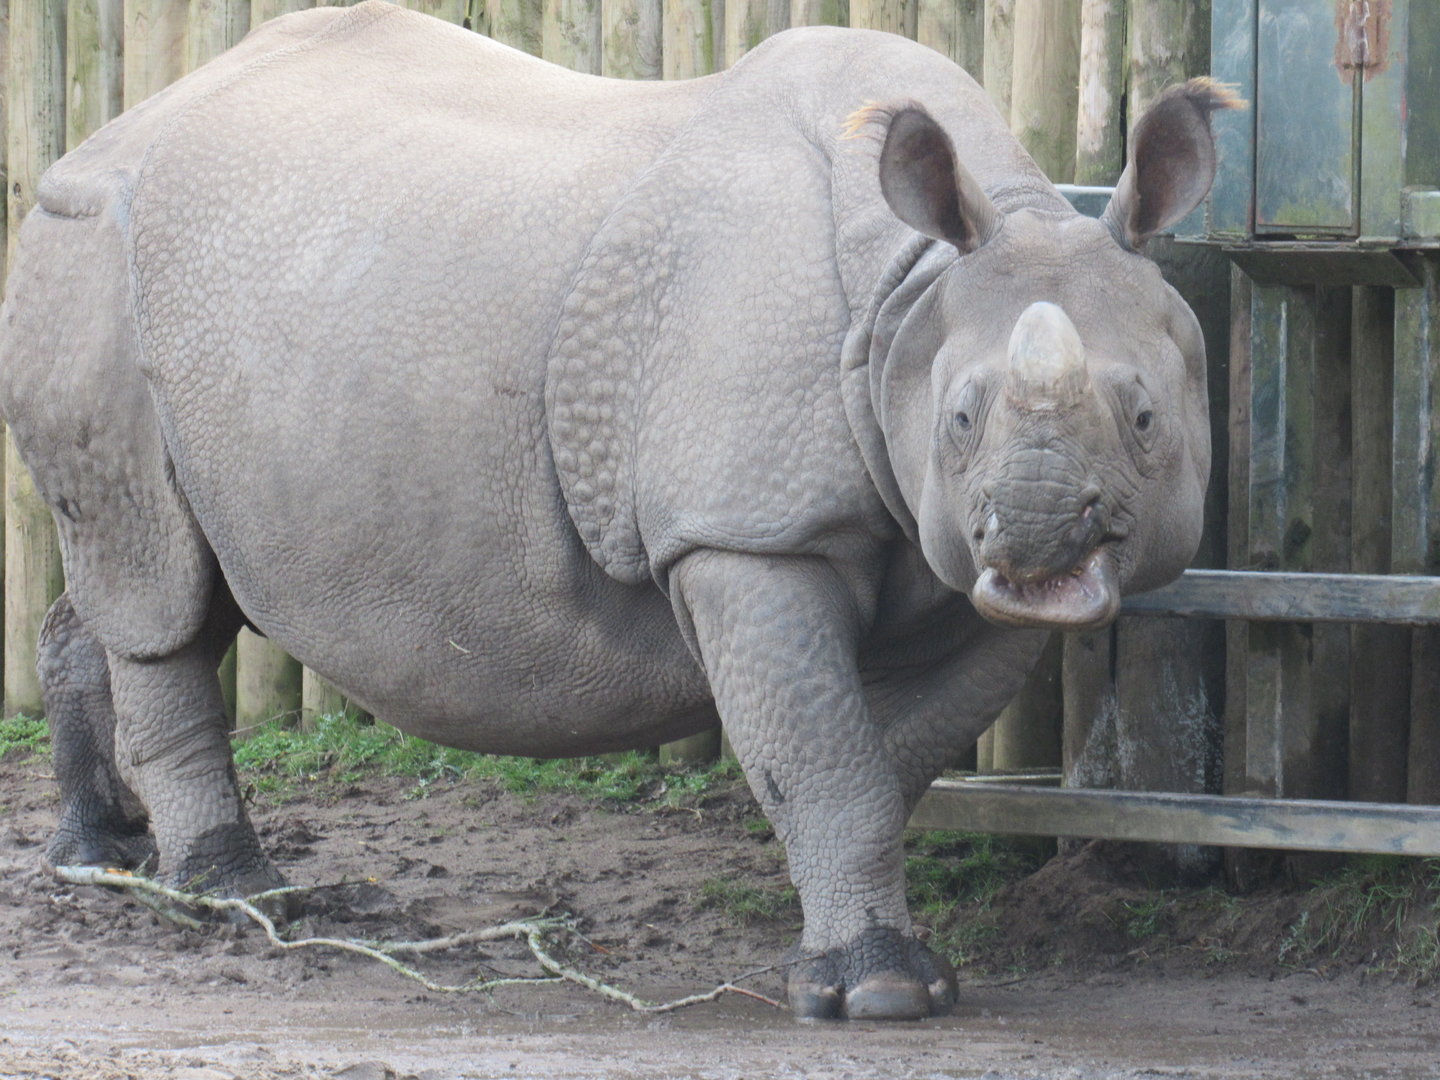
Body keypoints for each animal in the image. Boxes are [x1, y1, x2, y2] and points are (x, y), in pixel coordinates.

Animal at [0, 2, 1231, 1020]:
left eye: (1145, 419)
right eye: (963, 418)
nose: (1031, 541)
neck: (909, 292)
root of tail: (98, 138)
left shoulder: (943, 566)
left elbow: (881, 754)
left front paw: (858, 948)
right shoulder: (744, 533)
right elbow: (820, 754)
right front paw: (878, 994)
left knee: (159, 578)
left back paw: (97, 852)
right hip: (83, 248)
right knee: (155, 591)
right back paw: (233, 895)